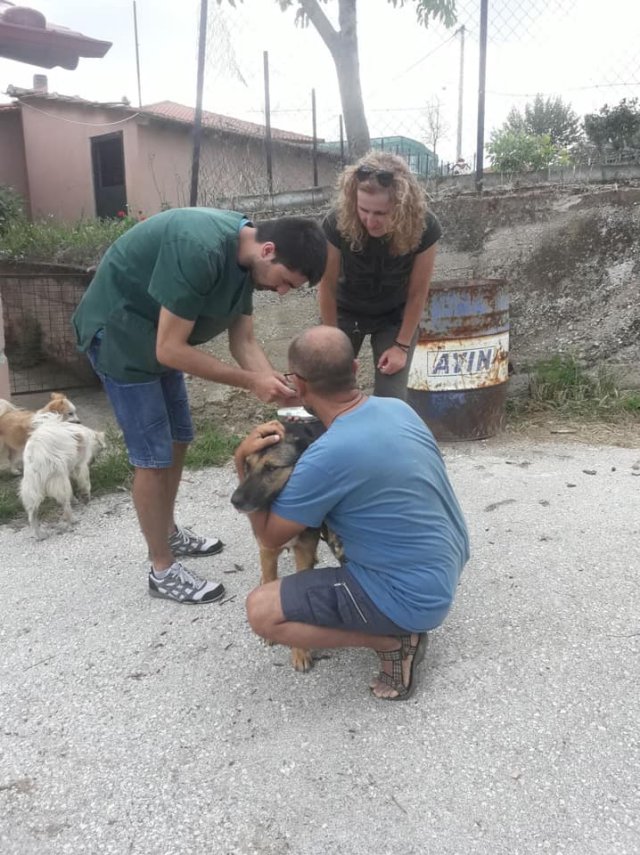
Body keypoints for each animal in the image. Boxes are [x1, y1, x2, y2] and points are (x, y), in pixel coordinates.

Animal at [20, 412, 105, 540]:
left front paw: (77, 499)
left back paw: (40, 535)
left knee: (32, 515)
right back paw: (73, 519)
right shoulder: (80, 465)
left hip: (32, 488)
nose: (94, 460)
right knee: (65, 504)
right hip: (58, 480)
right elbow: (86, 483)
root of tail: (35, 454)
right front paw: (86, 497)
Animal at [229, 434, 340, 676]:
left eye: (271, 468)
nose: (235, 501)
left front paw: (300, 652)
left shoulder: (304, 550)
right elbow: (270, 576)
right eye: (247, 466)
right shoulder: (268, 549)